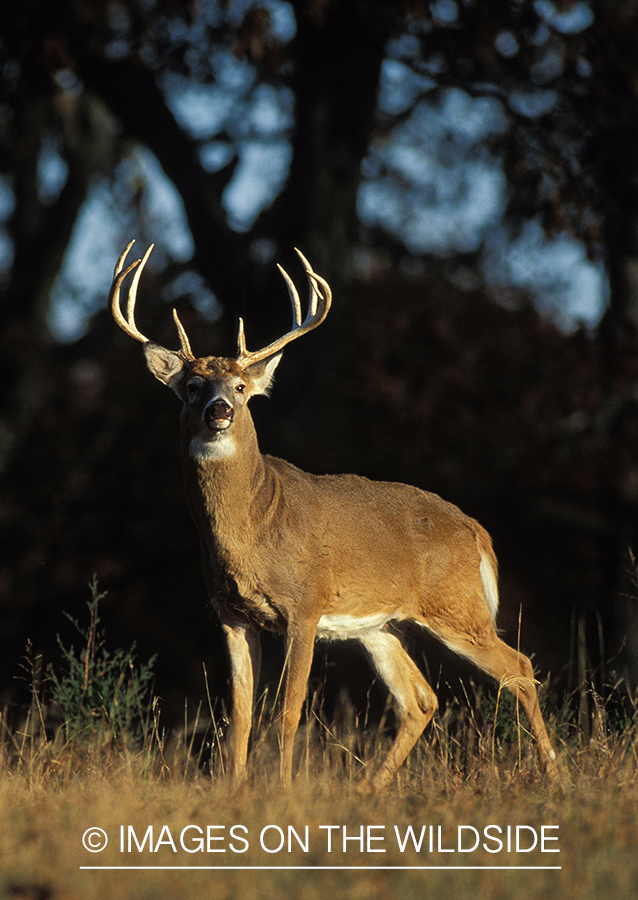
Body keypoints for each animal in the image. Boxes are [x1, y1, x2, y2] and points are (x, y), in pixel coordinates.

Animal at [110, 239, 560, 788]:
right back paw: (369, 791)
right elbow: (240, 713)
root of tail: (477, 532)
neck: (254, 526)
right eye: (193, 385)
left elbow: (288, 710)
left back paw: (557, 777)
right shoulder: (231, 613)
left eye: (240, 388)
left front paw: (282, 790)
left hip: (456, 605)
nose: (220, 411)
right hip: (379, 626)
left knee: (520, 668)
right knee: (421, 698)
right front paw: (235, 791)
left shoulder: (304, 605)